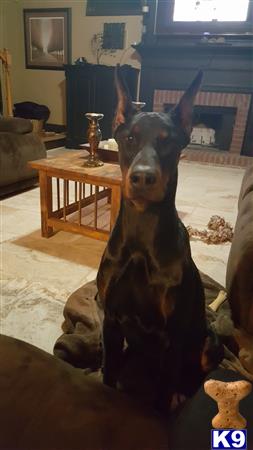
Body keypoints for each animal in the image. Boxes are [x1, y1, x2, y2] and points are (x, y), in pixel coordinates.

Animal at [96, 67, 221, 412]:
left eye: (169, 142)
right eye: (129, 138)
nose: (142, 177)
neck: (142, 238)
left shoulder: (172, 337)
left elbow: (163, 392)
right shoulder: (111, 321)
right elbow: (109, 373)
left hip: (209, 343)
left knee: (196, 376)